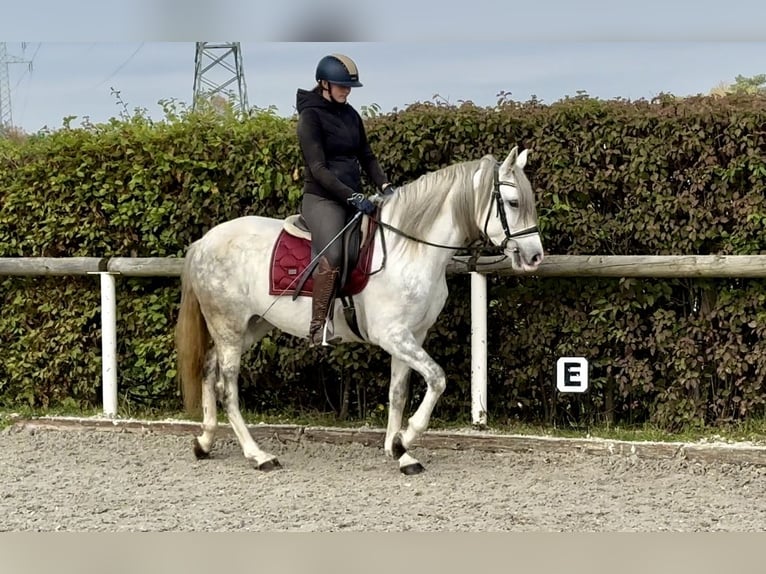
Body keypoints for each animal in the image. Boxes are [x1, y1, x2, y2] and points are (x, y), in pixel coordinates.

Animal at [174, 146, 544, 474]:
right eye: (513, 203)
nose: (535, 256)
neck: (409, 248)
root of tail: (203, 242)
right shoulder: (393, 336)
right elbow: (437, 379)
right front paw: (405, 439)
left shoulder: (412, 335)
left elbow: (398, 392)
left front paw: (399, 451)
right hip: (229, 327)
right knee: (227, 387)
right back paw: (258, 455)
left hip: (250, 326)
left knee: (209, 369)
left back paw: (204, 442)